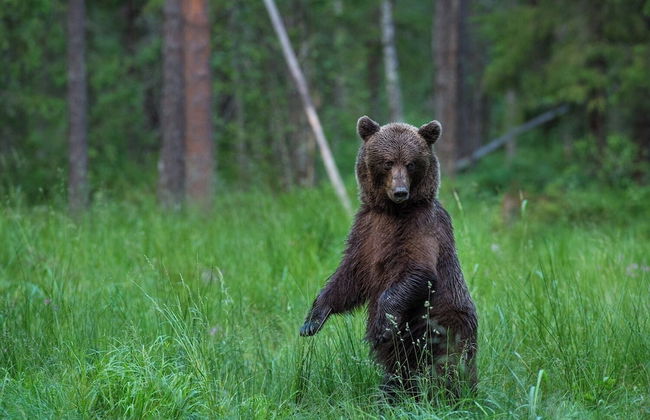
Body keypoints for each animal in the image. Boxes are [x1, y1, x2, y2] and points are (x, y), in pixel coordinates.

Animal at [299, 116, 478, 399]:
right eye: (387, 162)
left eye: (411, 163)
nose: (401, 191)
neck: (393, 212)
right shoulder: (366, 231)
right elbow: (348, 277)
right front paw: (312, 320)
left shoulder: (422, 227)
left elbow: (418, 271)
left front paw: (381, 325)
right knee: (398, 370)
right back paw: (389, 395)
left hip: (442, 324)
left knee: (448, 363)